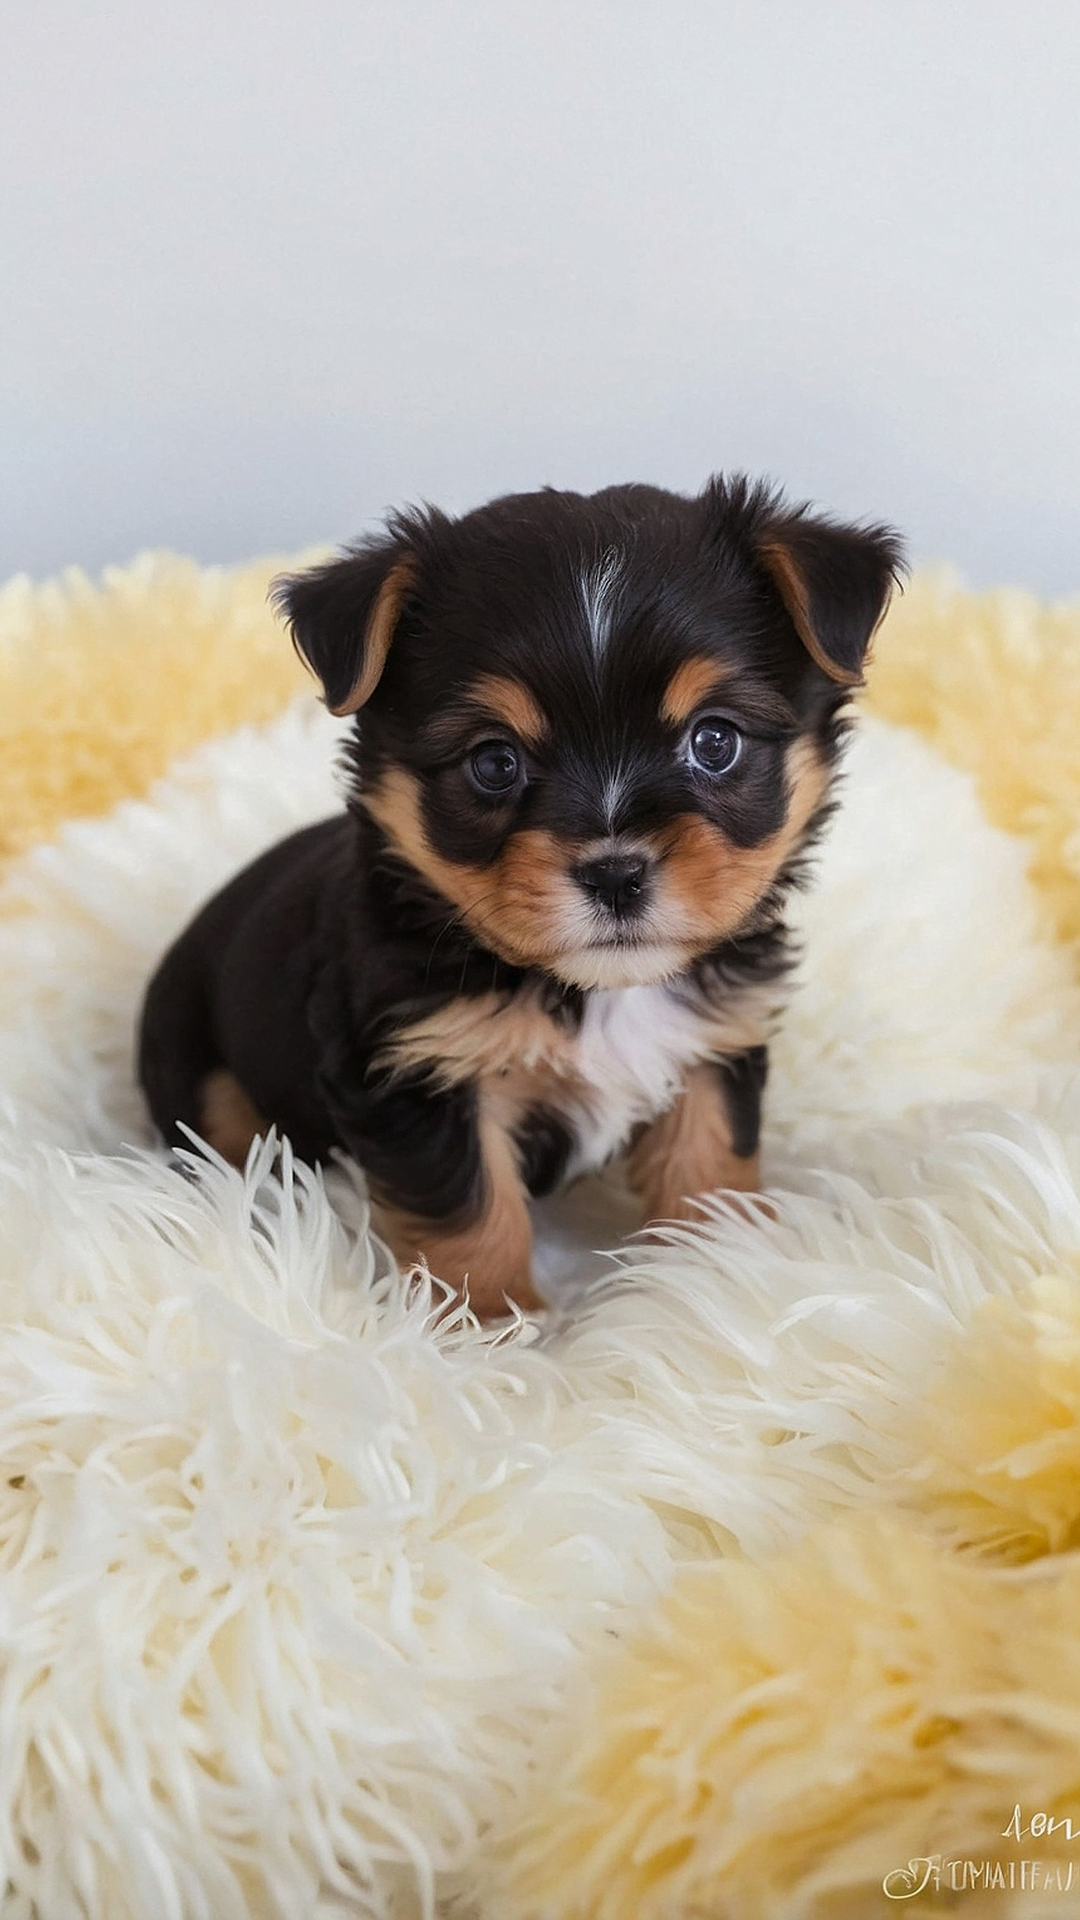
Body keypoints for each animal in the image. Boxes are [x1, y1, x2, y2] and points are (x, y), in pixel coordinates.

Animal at [143, 480, 899, 1320]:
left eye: (714, 741)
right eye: (494, 762)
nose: (615, 873)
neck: (593, 991)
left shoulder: (714, 1037)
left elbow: (706, 1161)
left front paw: (711, 1280)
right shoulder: (417, 1073)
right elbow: (471, 1211)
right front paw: (491, 1326)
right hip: (201, 1075)